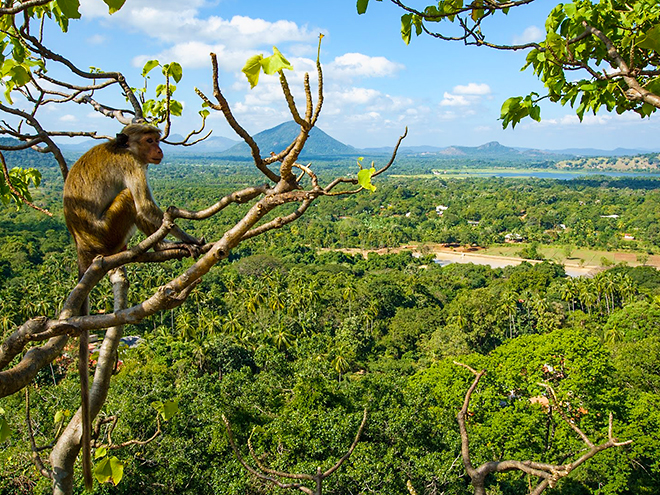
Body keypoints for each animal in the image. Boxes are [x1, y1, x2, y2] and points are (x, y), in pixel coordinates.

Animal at [64, 123, 204, 488]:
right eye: (150, 140)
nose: (160, 150)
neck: (124, 149)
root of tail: (83, 246)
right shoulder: (132, 166)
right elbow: (144, 206)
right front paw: (187, 240)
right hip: (106, 234)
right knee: (129, 200)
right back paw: (158, 246)